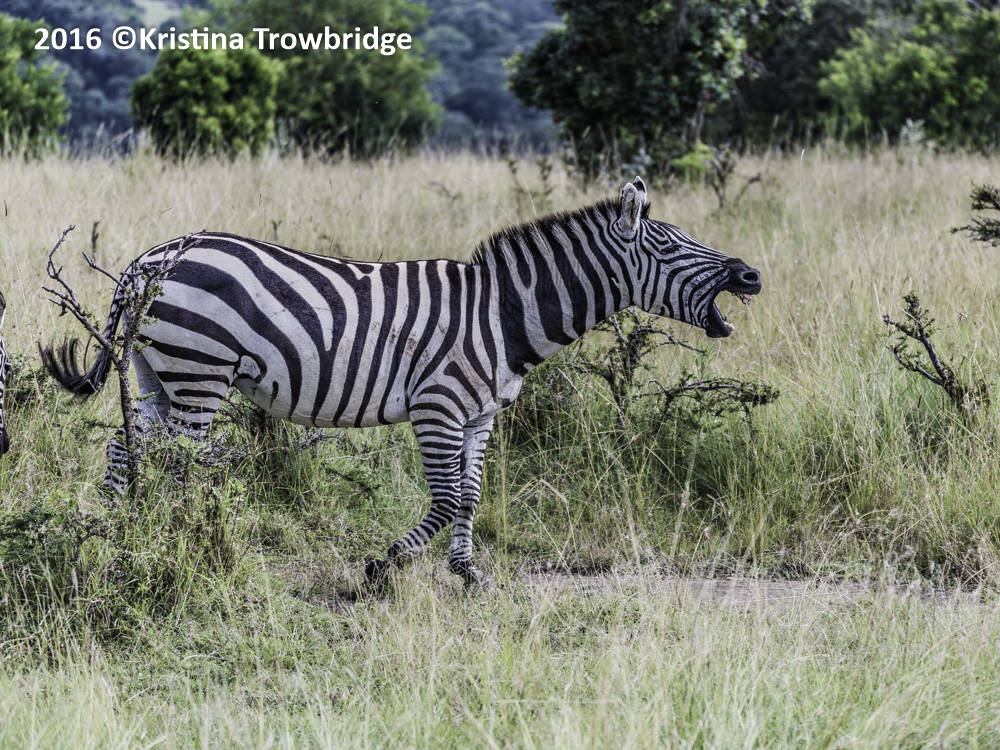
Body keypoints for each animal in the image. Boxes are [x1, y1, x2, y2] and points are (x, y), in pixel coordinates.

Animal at [42, 177, 761, 588]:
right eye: (670, 246)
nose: (752, 275)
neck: (502, 314)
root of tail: (150, 258)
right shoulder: (438, 405)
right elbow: (444, 500)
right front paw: (380, 569)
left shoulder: (480, 414)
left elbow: (471, 496)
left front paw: (468, 573)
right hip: (199, 370)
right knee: (182, 464)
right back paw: (184, 547)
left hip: (156, 373)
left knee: (126, 448)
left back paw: (116, 534)